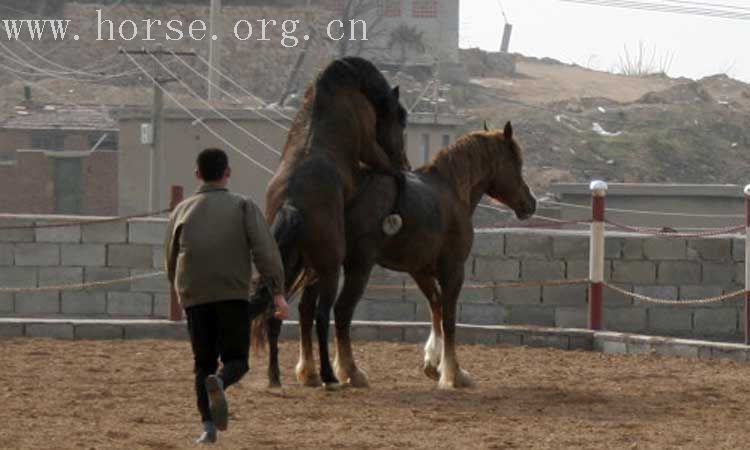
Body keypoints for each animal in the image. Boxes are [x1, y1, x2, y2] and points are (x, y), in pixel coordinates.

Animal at [258, 55, 412, 386]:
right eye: (400, 120)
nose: (405, 159)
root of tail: (291, 204)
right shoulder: (372, 151)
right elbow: (393, 174)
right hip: (328, 269)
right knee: (321, 314)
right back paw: (329, 375)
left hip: (289, 267)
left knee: (277, 313)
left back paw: (275, 376)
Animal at [262, 121, 536, 388]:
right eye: (516, 162)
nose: (530, 203)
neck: (450, 191)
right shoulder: (453, 270)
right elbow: (448, 318)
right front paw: (454, 373)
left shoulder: (420, 270)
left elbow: (435, 307)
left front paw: (433, 363)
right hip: (356, 267)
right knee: (341, 311)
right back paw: (350, 372)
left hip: (319, 267)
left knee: (306, 310)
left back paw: (309, 372)